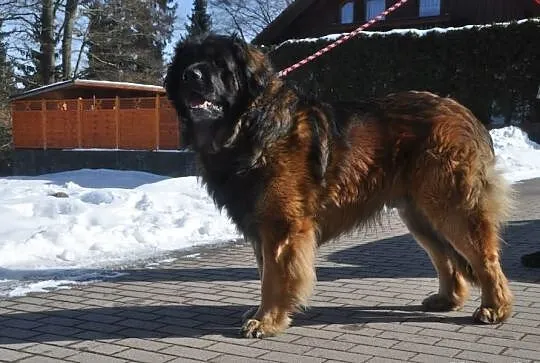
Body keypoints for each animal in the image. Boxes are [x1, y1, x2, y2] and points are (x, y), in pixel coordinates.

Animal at [165, 33, 516, 338]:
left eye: (219, 65)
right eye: (189, 61)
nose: (190, 75)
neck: (249, 127)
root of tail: (465, 113)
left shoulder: (281, 227)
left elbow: (273, 277)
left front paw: (267, 321)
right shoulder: (261, 225)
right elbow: (265, 271)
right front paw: (262, 314)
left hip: (451, 205)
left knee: (484, 258)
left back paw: (495, 309)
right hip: (419, 214)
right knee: (445, 258)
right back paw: (447, 300)